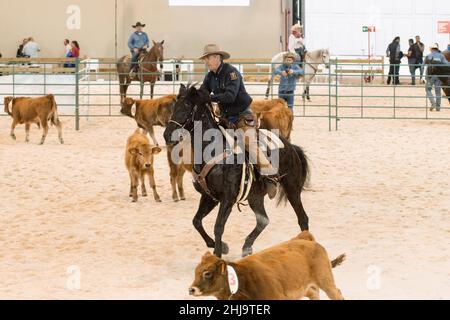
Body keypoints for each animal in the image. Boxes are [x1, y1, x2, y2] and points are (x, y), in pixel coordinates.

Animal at [189, 231, 344, 302]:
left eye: (207, 273)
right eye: (195, 272)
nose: (191, 289)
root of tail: (304, 238)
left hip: (326, 281)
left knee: (336, 293)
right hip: (308, 288)